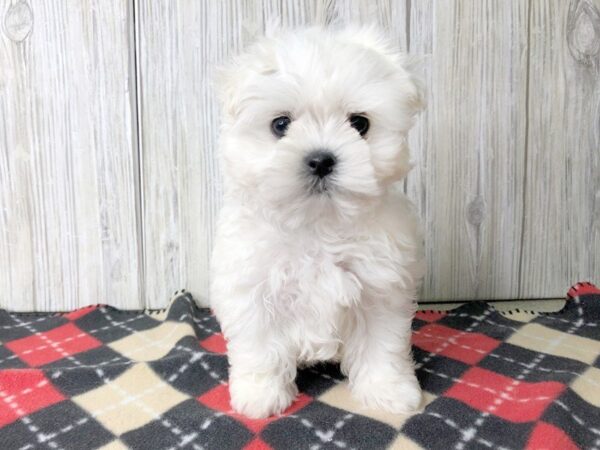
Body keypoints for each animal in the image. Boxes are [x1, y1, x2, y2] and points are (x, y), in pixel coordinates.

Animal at [211, 24, 426, 418]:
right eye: (280, 124)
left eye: (360, 124)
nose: (321, 160)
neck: (317, 222)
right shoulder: (253, 288)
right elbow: (260, 347)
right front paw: (261, 395)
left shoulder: (381, 290)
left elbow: (382, 345)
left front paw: (389, 391)